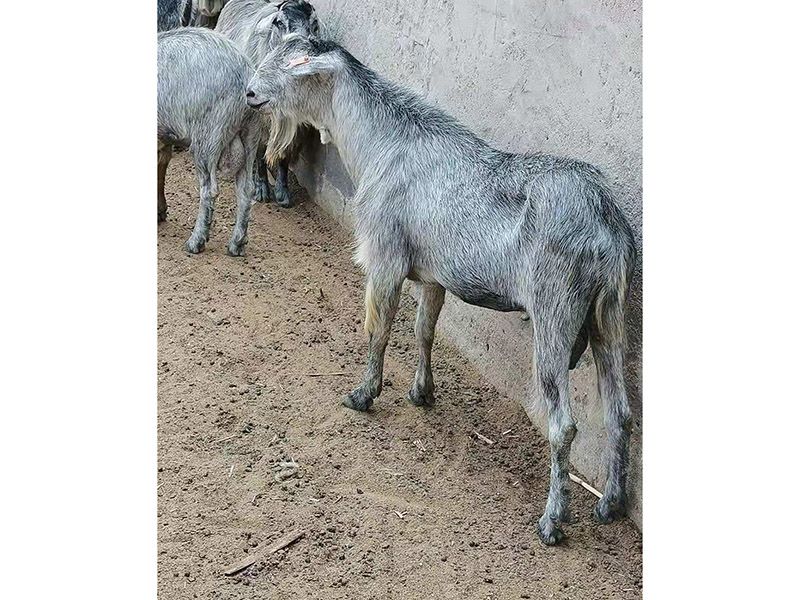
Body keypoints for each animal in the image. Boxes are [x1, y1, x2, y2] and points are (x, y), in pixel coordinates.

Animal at [157, 27, 260, 256]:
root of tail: (245, 73)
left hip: (208, 136)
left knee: (209, 190)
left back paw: (196, 241)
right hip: (250, 135)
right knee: (247, 189)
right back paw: (237, 243)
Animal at [216, 0, 320, 207]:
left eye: (314, 24)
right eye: (279, 22)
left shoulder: (295, 121)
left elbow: (285, 154)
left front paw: (282, 192)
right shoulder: (257, 114)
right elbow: (259, 152)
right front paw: (261, 188)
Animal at [246, 34, 638, 545]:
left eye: (293, 64)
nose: (250, 93)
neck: (383, 141)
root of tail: (606, 220)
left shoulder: (386, 257)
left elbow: (379, 330)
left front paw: (363, 395)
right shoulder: (432, 276)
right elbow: (424, 330)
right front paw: (421, 393)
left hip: (555, 311)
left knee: (564, 425)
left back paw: (553, 520)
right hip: (608, 315)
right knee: (620, 411)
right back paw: (610, 503)